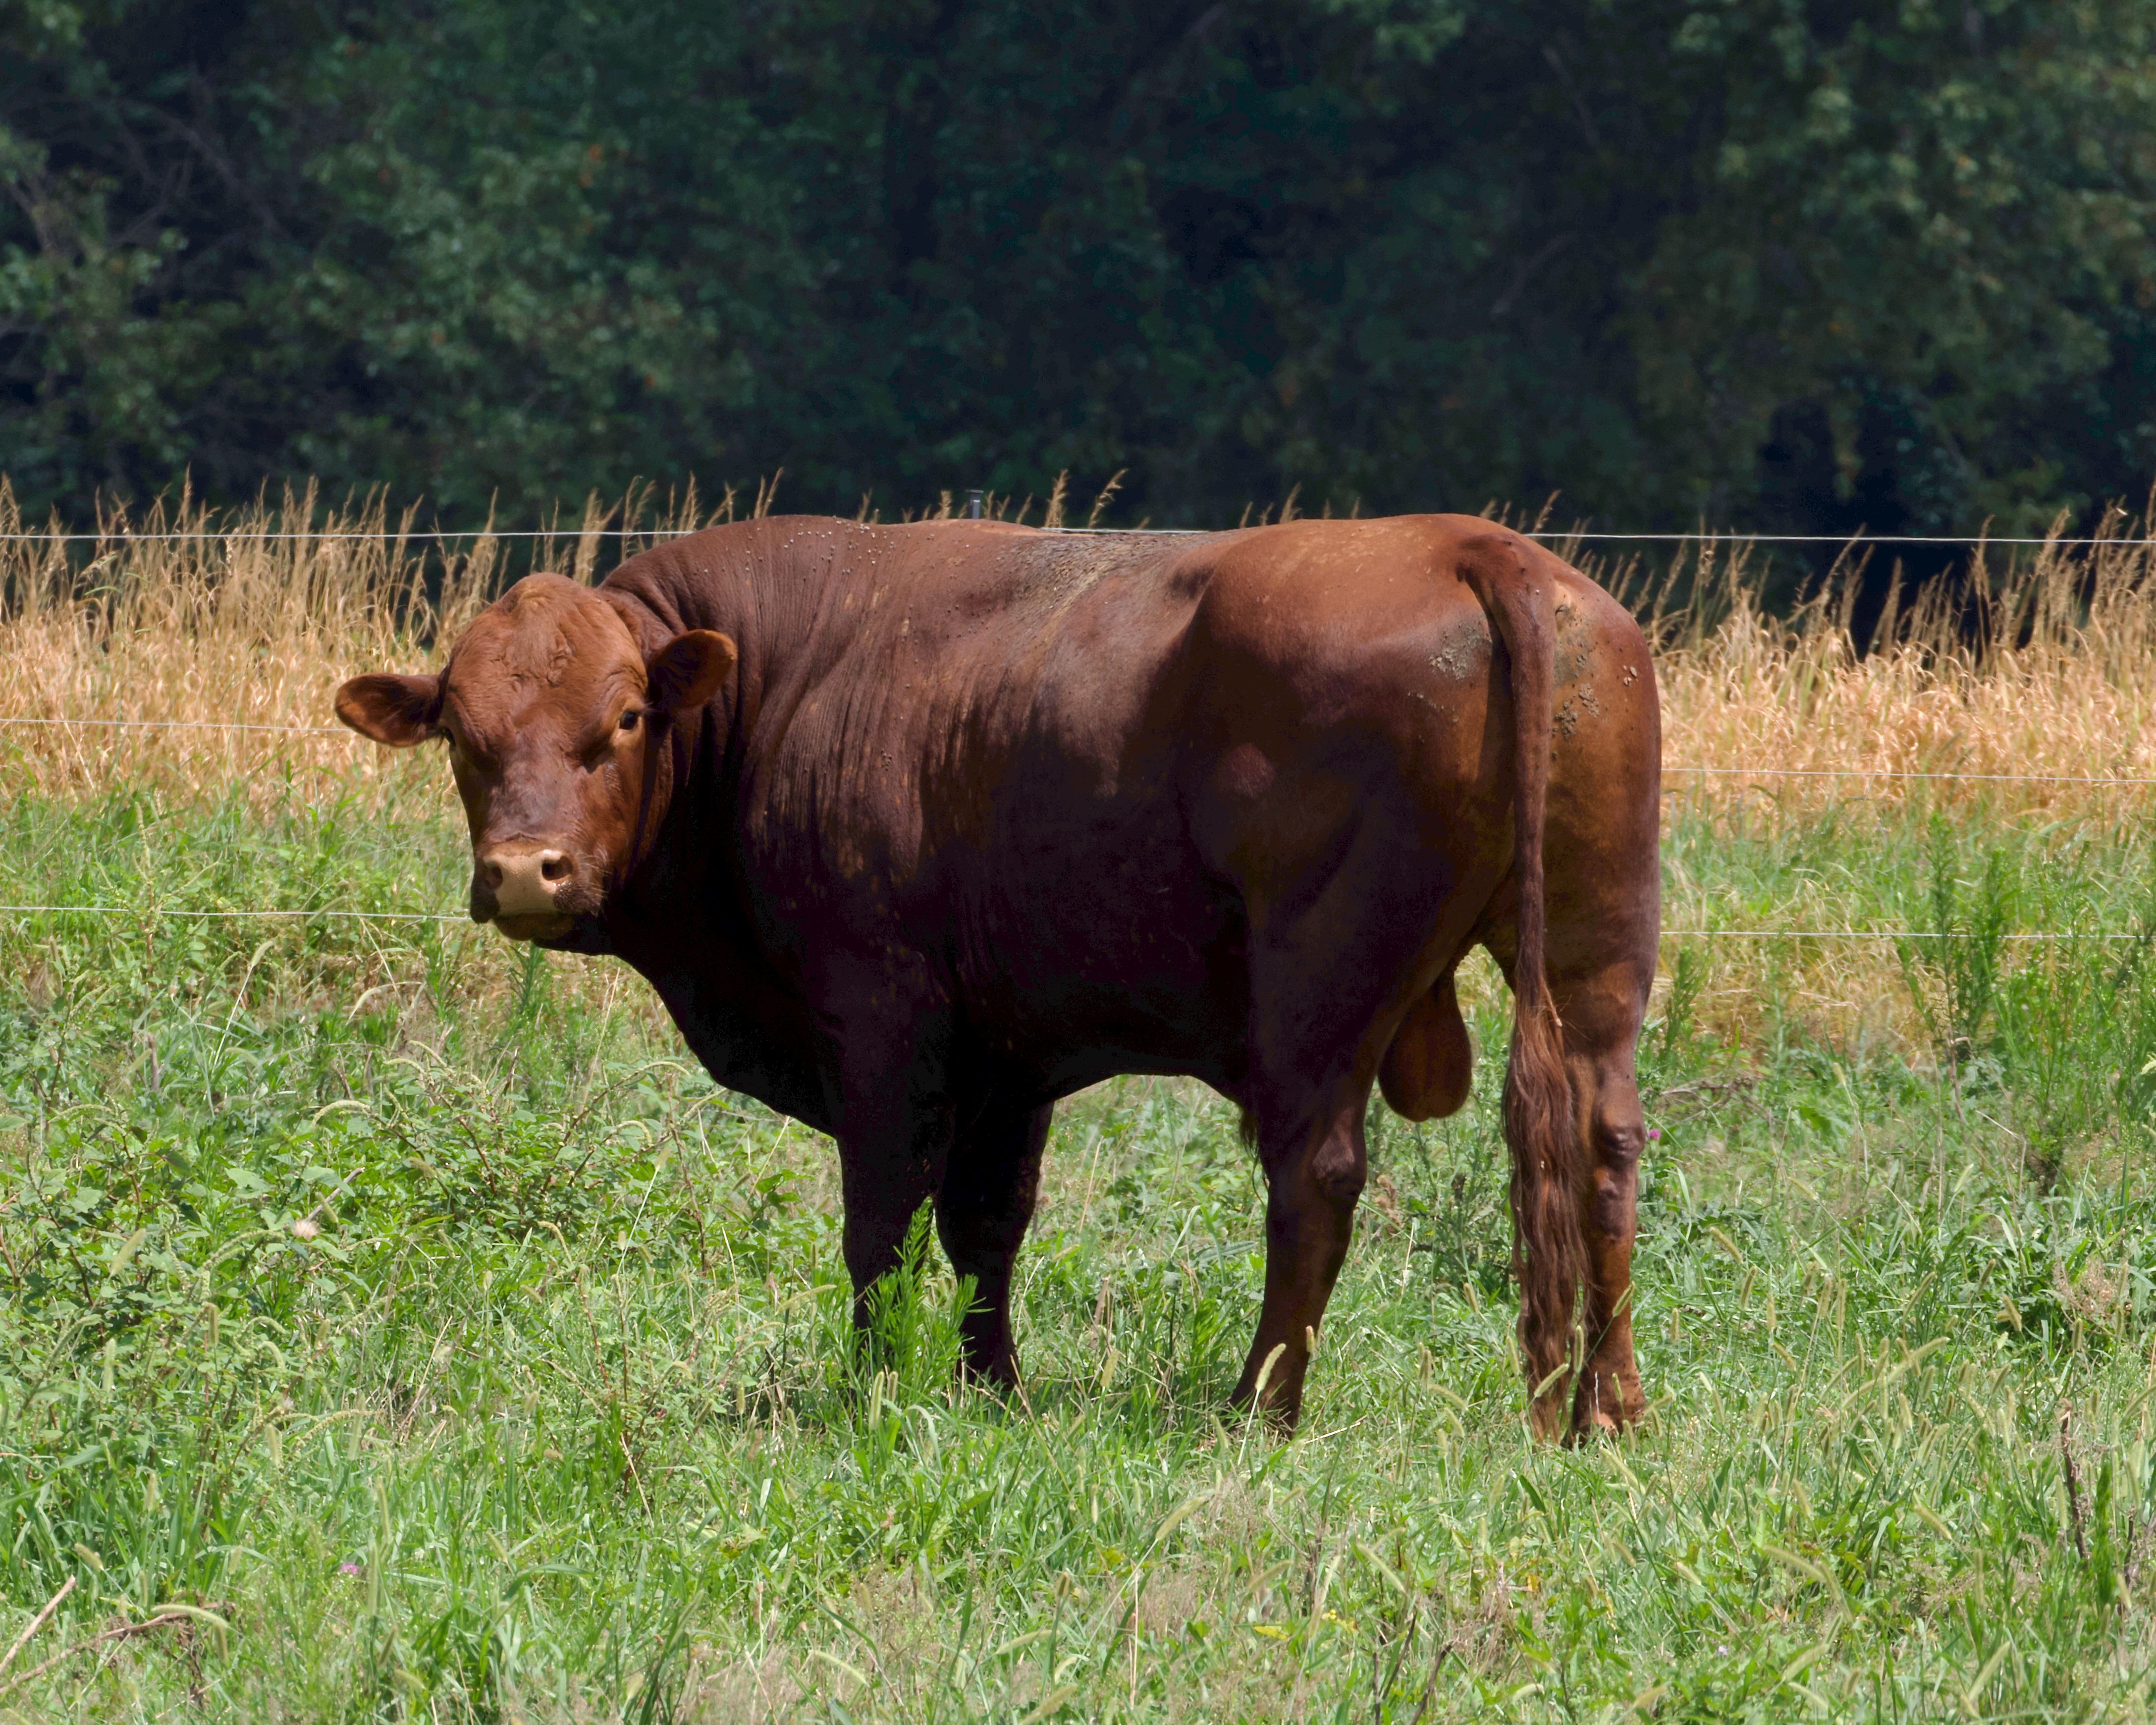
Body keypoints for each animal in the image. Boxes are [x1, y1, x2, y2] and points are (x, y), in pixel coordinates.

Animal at [335, 514, 1660, 1439]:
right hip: (1594, 955)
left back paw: (1257, 1406)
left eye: (618, 720)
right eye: (463, 733)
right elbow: (988, 1226)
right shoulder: (1010, 1054)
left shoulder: (880, 1019)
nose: (525, 871)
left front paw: (876, 1385)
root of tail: (1467, 543)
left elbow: (882, 1223)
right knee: (1598, 1147)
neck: (785, 686)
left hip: (1318, 980)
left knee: (1316, 1178)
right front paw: (989, 1387)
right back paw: (1604, 1411)